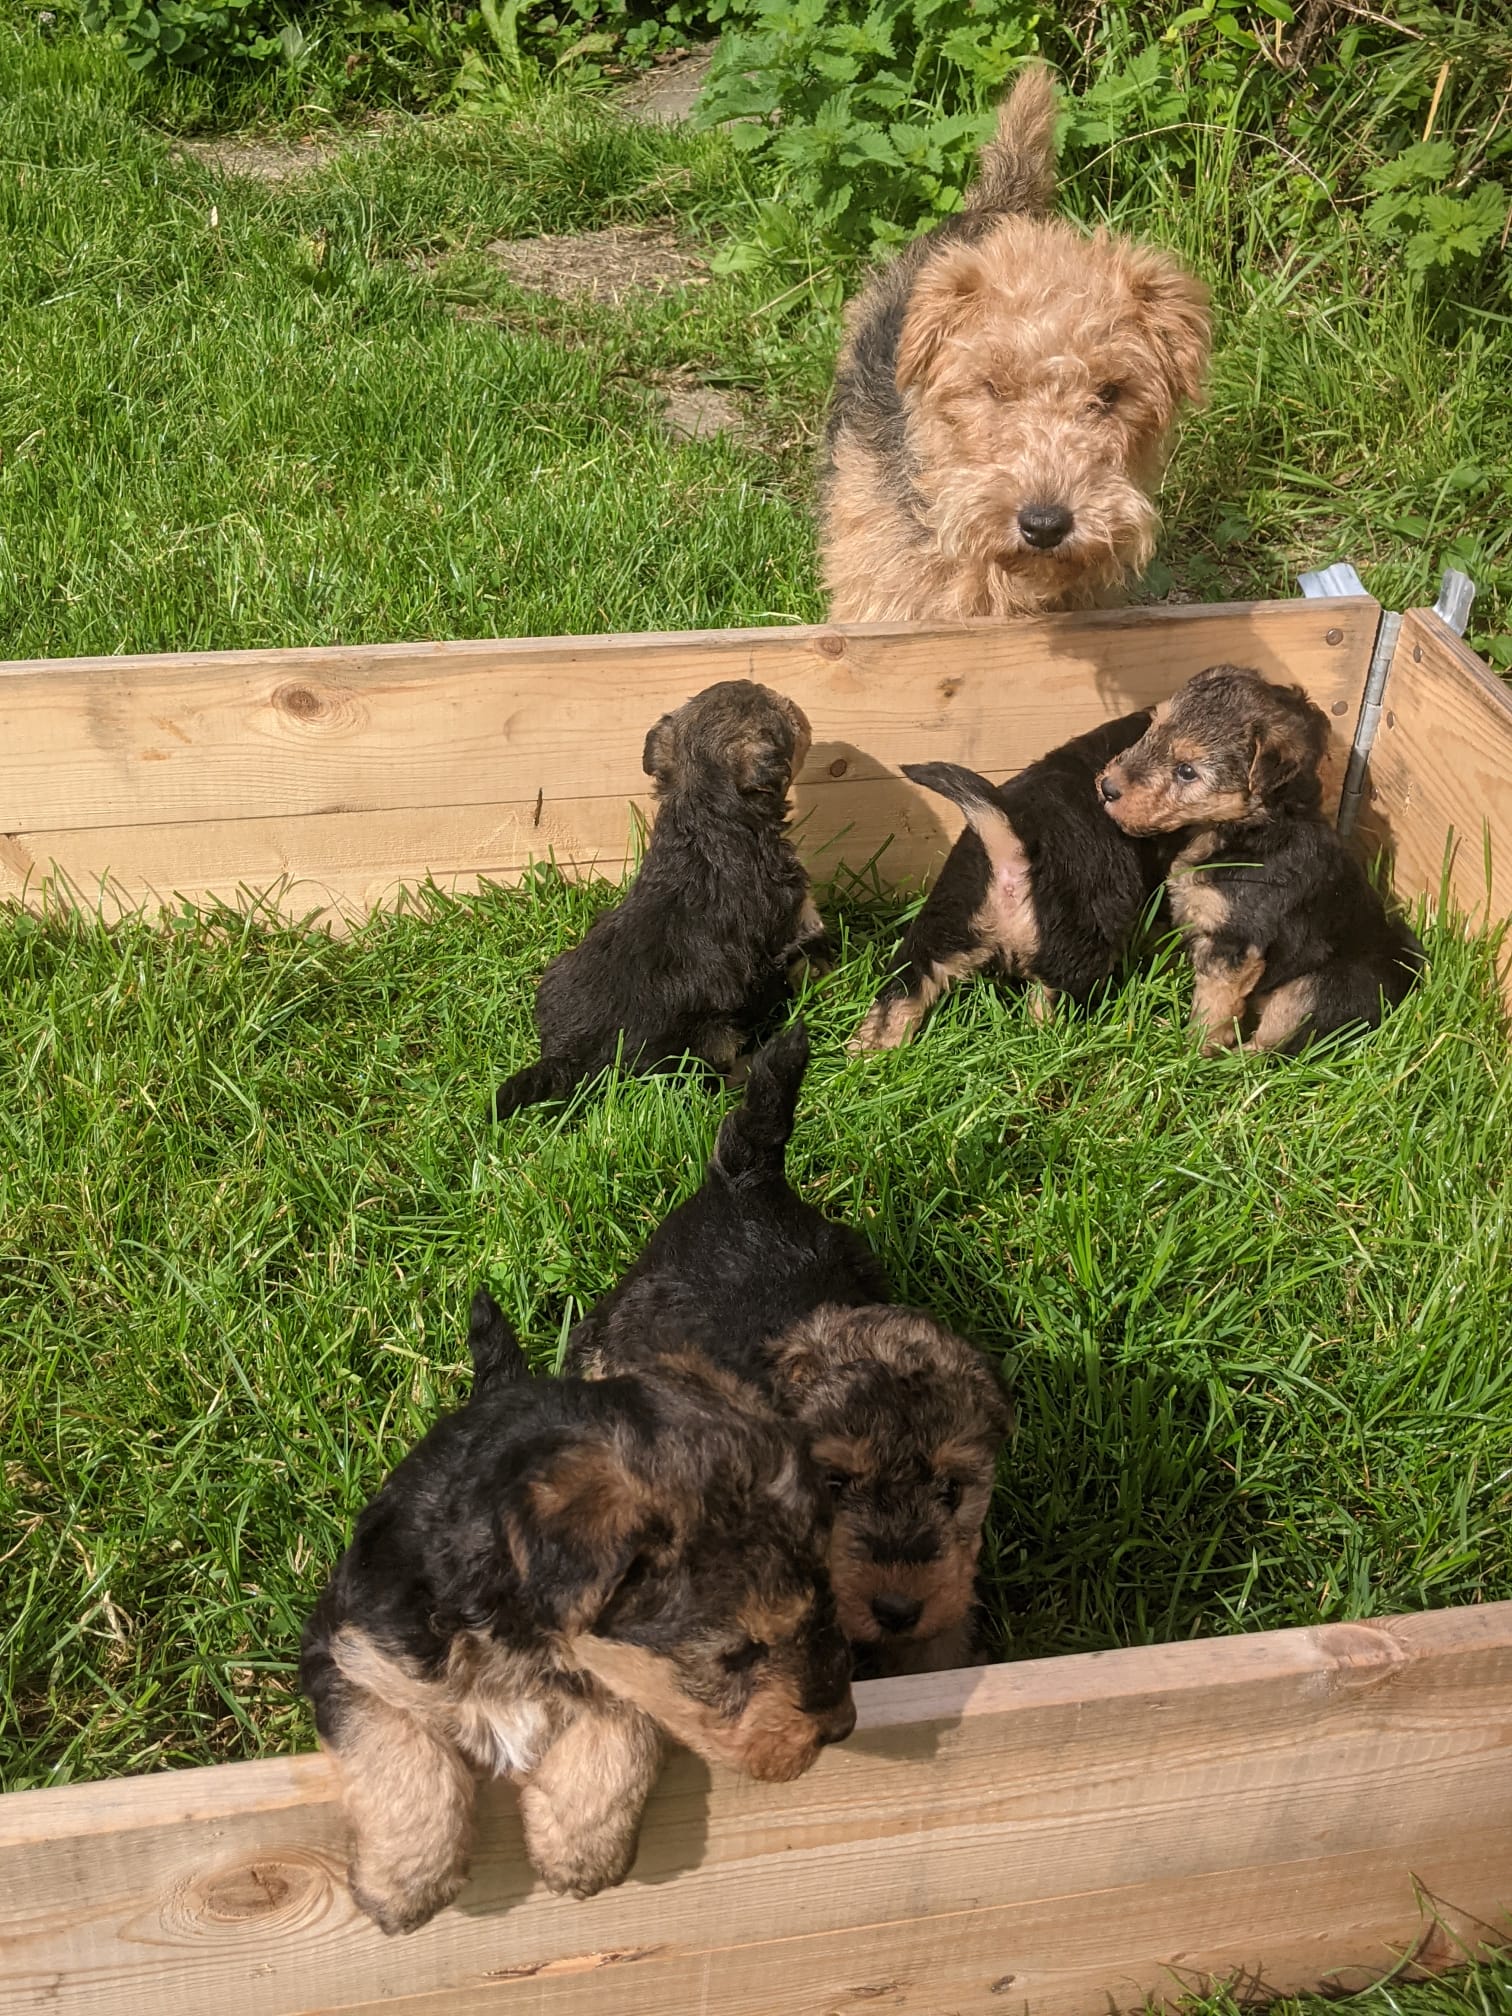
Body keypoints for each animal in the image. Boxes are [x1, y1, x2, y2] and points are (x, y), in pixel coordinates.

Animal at [302, 1290, 858, 1935]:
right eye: (739, 1653)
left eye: (829, 1596)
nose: (841, 1726)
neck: (515, 1633)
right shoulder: (351, 1651)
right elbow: (397, 1750)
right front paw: (404, 1883)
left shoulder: (631, 1680)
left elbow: (623, 1738)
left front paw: (577, 1851)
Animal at [493, 677, 830, 1120]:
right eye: (784, 716)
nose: (788, 698)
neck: (707, 814)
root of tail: (566, 1054)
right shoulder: (798, 919)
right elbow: (811, 962)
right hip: (708, 1039)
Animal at [1096, 669, 1427, 1064]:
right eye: (1154, 725)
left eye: (1187, 771)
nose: (1108, 788)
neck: (1251, 830)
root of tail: (1408, 983)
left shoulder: (1236, 941)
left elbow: (1213, 1004)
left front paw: (1193, 1052)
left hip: (1317, 988)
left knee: (1276, 1046)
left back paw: (1229, 1063)